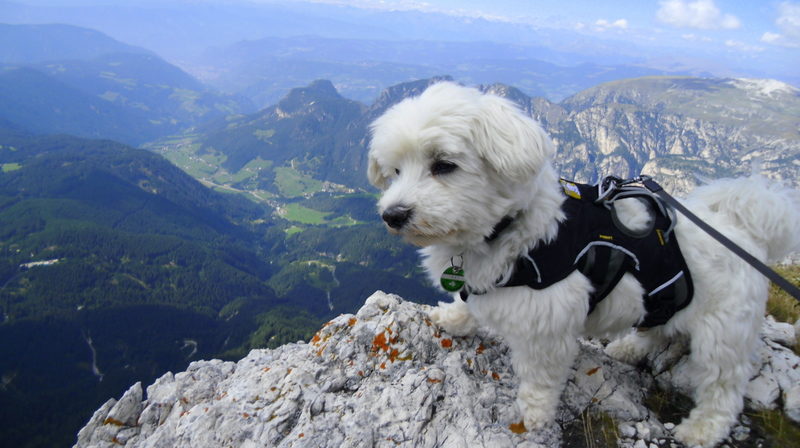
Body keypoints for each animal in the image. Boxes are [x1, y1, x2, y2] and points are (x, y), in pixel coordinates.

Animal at [368, 81, 800, 448]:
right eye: (395, 170)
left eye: (444, 164)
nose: (392, 215)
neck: (510, 228)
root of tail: (743, 227)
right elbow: (468, 303)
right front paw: (453, 318)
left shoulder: (546, 326)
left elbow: (540, 377)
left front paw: (533, 414)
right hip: (665, 300)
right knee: (658, 325)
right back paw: (630, 347)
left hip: (722, 334)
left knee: (724, 386)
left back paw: (704, 428)